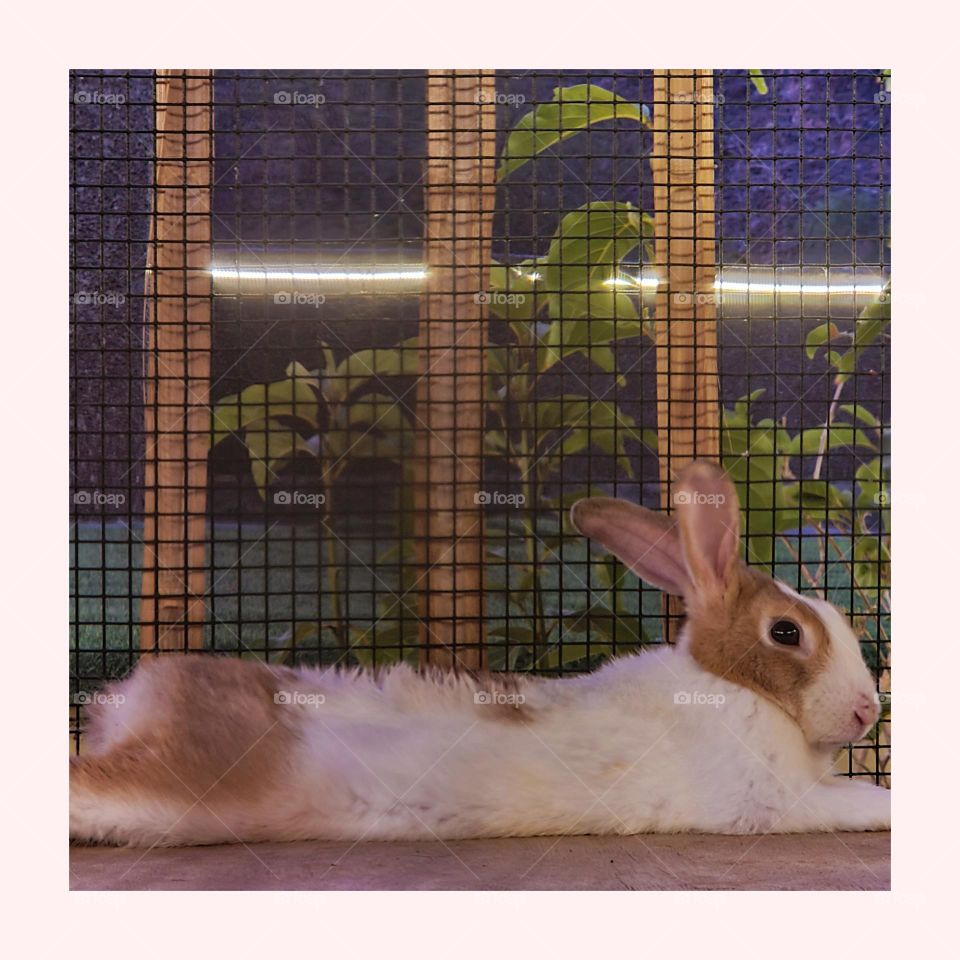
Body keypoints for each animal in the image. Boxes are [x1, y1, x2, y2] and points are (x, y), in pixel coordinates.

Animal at [70, 461, 890, 847]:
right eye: (786, 634)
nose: (867, 710)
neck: (740, 691)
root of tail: (133, 702)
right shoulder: (775, 802)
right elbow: (863, 803)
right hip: (173, 787)